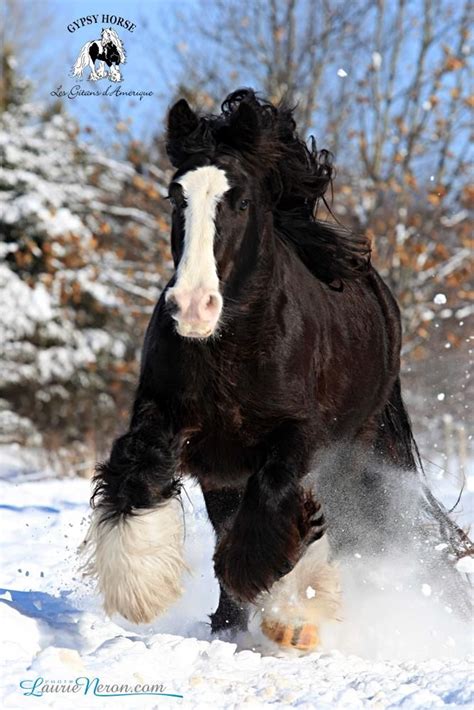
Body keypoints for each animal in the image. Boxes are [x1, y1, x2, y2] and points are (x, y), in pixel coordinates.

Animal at [82, 87, 470, 652]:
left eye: (241, 201)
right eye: (176, 198)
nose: (192, 306)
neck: (232, 346)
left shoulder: (299, 434)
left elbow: (273, 503)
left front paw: (284, 604)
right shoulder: (168, 417)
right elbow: (136, 471)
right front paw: (140, 587)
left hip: (354, 445)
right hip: (224, 468)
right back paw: (229, 624)